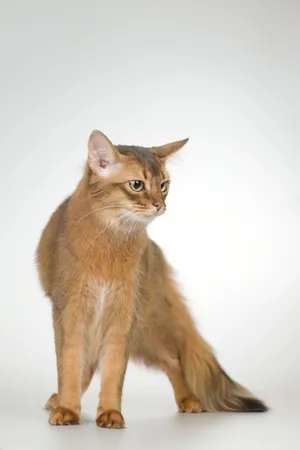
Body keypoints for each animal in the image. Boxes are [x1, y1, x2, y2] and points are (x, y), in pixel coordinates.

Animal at [35, 131, 268, 428]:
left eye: (164, 185)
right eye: (137, 185)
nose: (160, 205)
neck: (111, 244)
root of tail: (155, 250)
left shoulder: (123, 315)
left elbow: (112, 369)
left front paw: (110, 413)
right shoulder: (69, 311)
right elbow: (70, 363)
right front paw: (67, 408)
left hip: (145, 326)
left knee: (173, 358)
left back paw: (188, 400)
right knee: (88, 363)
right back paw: (59, 400)